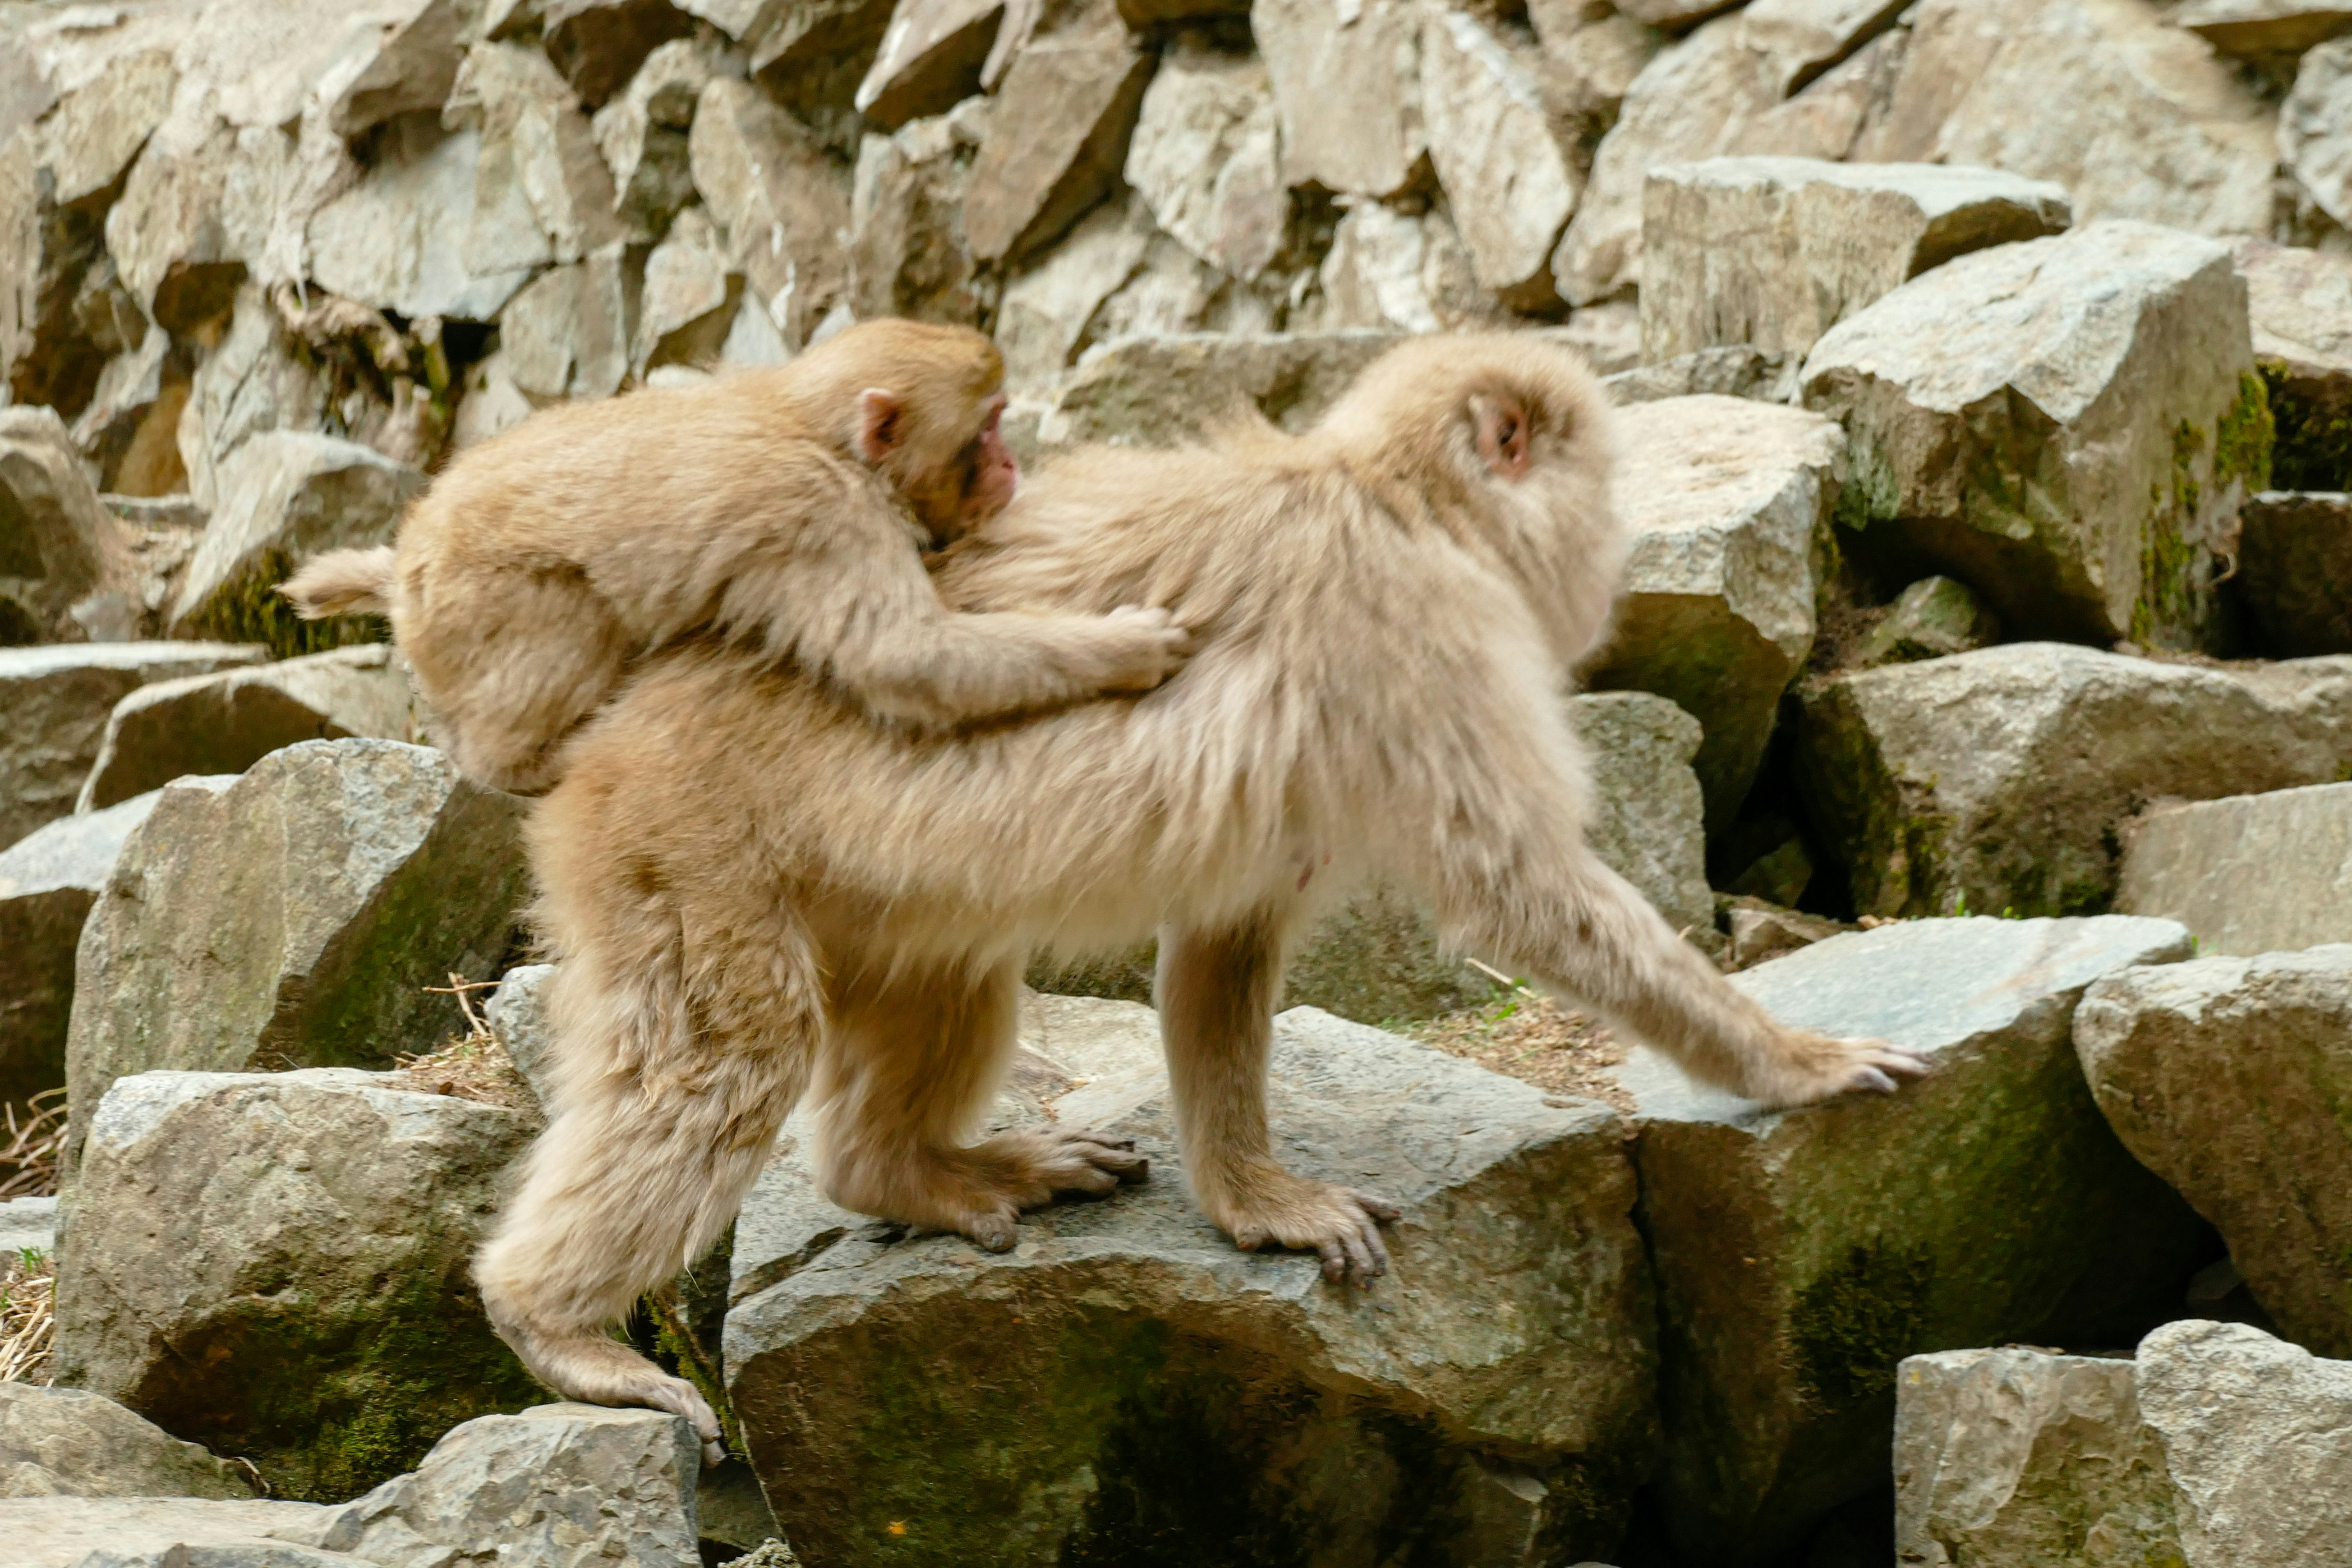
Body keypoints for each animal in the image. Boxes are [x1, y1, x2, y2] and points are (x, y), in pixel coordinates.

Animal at [280, 318, 1191, 795]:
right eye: (990, 424)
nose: (1009, 463)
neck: (820, 430)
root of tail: (407, 561)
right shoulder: (824, 514)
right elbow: (905, 660)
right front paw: (1126, 646)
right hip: (478, 609)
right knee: (569, 630)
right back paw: (530, 760)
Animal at [469, 332, 1933, 1459]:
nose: (1614, 555)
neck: (1391, 496)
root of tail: (604, 733)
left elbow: (1228, 936)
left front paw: (1250, 1200)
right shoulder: (1420, 634)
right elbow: (1524, 891)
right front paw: (1792, 1061)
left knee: (947, 973)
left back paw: (904, 1172)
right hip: (674, 849)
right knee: (728, 1060)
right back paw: (554, 1322)